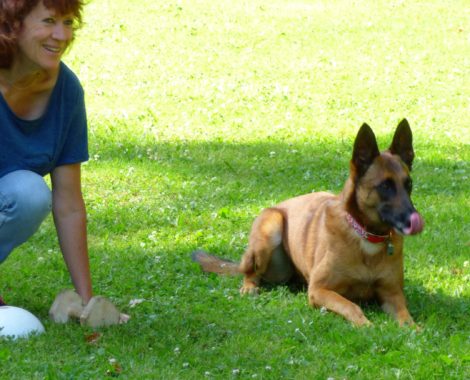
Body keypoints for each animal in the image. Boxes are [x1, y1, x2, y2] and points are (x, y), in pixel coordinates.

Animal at [193, 119, 424, 326]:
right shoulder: (319, 290)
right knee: (250, 273)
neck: (366, 236)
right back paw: (249, 287)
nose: (413, 218)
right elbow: (351, 306)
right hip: (269, 231)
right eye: (385, 186)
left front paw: (414, 329)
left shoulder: (392, 293)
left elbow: (405, 316)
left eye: (408, 184)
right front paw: (365, 324)